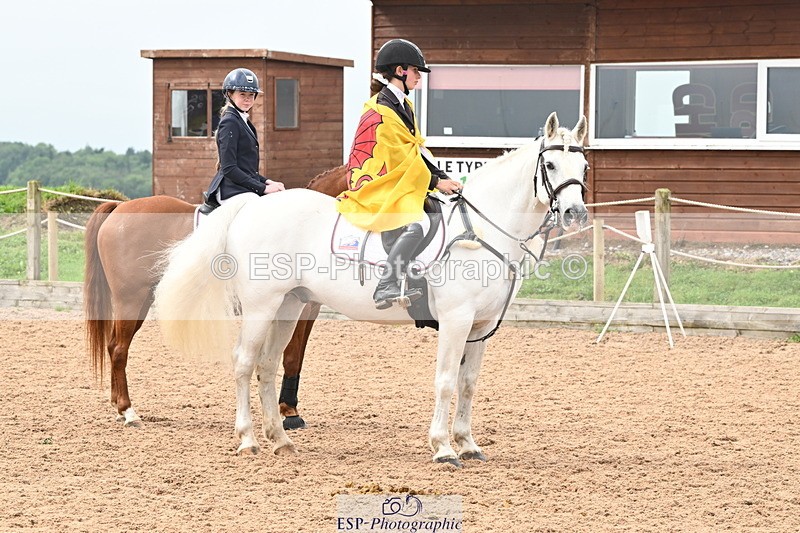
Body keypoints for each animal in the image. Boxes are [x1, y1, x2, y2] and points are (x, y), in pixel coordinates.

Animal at [83, 165, 348, 428]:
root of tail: (119, 208)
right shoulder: (295, 307)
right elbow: (291, 356)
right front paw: (289, 413)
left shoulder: (308, 309)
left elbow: (296, 357)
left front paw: (289, 409)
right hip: (130, 299)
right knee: (119, 348)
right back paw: (128, 412)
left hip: (142, 301)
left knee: (114, 346)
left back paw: (119, 407)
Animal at [153, 112, 589, 465]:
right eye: (550, 163)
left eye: (583, 165)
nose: (575, 213)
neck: (480, 230)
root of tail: (252, 204)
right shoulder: (456, 321)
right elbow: (446, 381)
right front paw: (443, 448)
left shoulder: (479, 328)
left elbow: (467, 385)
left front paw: (467, 444)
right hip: (261, 306)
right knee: (244, 363)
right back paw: (247, 440)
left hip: (288, 306)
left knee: (267, 365)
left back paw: (280, 440)